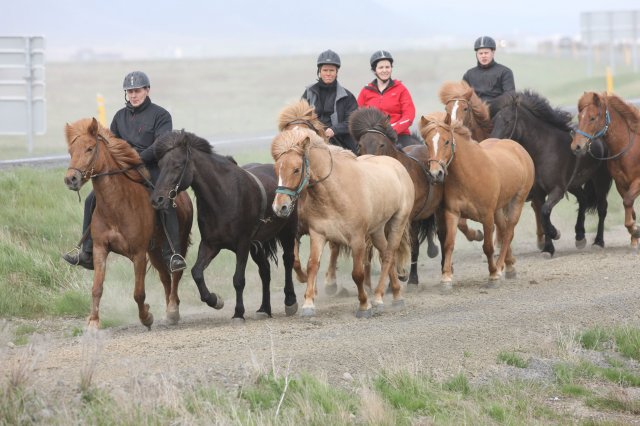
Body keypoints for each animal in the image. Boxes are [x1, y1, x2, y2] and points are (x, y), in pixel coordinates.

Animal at [64, 117, 195, 330]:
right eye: (70, 151)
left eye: (90, 148)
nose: (71, 179)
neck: (117, 206)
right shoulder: (100, 249)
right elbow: (97, 288)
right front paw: (93, 322)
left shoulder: (139, 255)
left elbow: (138, 293)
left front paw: (146, 317)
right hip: (155, 251)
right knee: (165, 277)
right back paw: (169, 310)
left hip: (178, 245)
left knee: (175, 274)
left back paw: (173, 310)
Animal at [151, 128, 298, 322]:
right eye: (160, 165)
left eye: (177, 165)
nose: (157, 200)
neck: (224, 196)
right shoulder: (211, 244)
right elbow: (197, 272)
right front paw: (215, 300)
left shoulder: (242, 244)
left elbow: (238, 280)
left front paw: (238, 313)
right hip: (257, 245)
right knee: (265, 270)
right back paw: (264, 308)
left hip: (287, 231)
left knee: (288, 260)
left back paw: (290, 301)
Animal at [272, 126, 416, 316]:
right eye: (277, 169)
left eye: (296, 169)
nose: (279, 207)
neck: (335, 192)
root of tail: (397, 165)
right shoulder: (318, 234)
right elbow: (312, 265)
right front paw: (308, 305)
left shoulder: (357, 239)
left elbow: (358, 274)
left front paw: (364, 306)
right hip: (377, 230)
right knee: (386, 254)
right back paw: (396, 295)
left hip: (397, 222)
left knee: (389, 256)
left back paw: (378, 298)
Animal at [420, 113, 536, 286]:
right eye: (427, 143)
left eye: (446, 141)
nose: (436, 174)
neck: (470, 174)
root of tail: (518, 148)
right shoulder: (452, 213)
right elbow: (449, 244)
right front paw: (446, 277)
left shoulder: (487, 216)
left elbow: (488, 247)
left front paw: (493, 274)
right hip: (498, 209)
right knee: (503, 230)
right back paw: (509, 266)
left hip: (517, 201)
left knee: (508, 232)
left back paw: (500, 267)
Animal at [568, 91, 640, 248]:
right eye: (579, 117)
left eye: (592, 118)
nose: (576, 146)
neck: (629, 149)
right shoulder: (621, 184)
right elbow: (630, 207)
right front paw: (634, 237)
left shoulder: (638, 182)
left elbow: (627, 202)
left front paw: (634, 230)